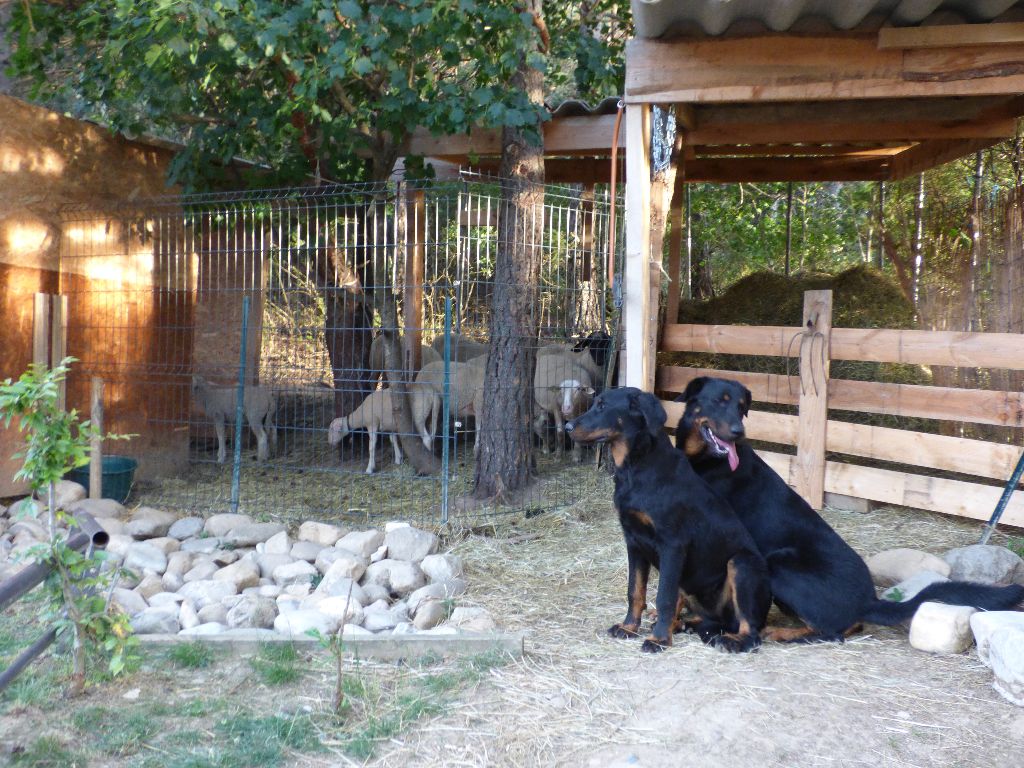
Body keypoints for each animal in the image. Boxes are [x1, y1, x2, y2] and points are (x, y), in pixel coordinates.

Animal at [569, 387, 770, 651]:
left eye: (602, 406)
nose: (567, 427)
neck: (637, 466)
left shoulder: (672, 544)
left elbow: (663, 595)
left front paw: (659, 640)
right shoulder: (633, 541)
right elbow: (635, 590)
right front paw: (629, 627)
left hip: (742, 563)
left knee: (750, 628)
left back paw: (731, 640)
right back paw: (681, 624)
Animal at [671, 376, 1024, 647]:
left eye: (741, 408)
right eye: (720, 402)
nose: (738, 431)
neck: (704, 461)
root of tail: (868, 600)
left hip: (780, 564)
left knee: (832, 631)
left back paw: (781, 632)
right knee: (850, 625)